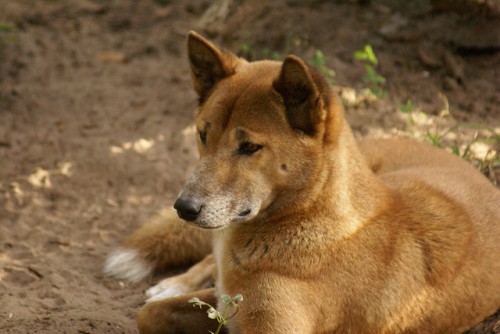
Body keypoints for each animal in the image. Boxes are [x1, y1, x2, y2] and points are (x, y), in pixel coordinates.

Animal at [103, 30, 498, 332]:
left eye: (249, 147)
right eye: (202, 135)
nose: (183, 208)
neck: (308, 217)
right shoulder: (228, 299)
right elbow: (148, 314)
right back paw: (173, 283)